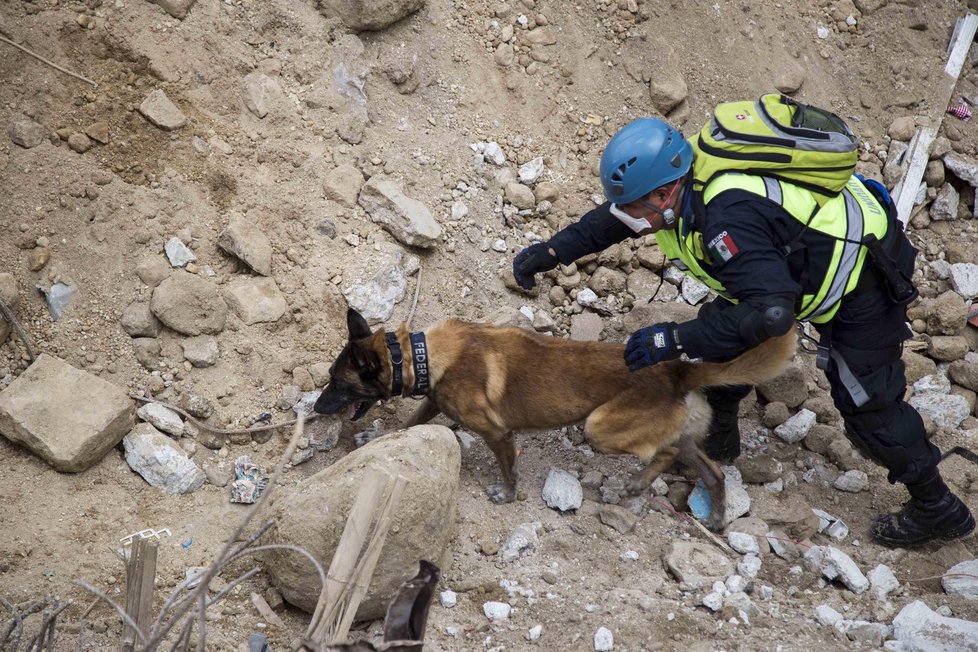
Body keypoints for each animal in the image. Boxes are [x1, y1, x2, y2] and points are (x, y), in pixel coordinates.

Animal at [316, 310, 796, 528]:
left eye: (338, 383)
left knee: (664, 453)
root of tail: (676, 369)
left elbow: (508, 469)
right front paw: (381, 438)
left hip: (599, 428)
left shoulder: (497, 432)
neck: (420, 354)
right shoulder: (434, 402)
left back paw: (634, 485)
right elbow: (412, 423)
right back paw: (712, 512)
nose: (315, 408)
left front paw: (508, 497)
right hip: (679, 437)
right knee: (711, 470)